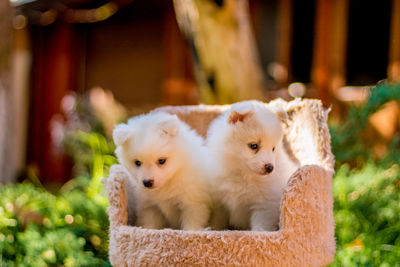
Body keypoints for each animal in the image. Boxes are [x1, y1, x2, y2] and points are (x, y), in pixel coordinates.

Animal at [206, 101, 296, 232]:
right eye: (253, 145)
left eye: (273, 148)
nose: (270, 167)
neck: (243, 174)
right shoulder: (220, 203)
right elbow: (217, 221)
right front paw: (213, 230)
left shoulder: (265, 206)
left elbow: (260, 226)